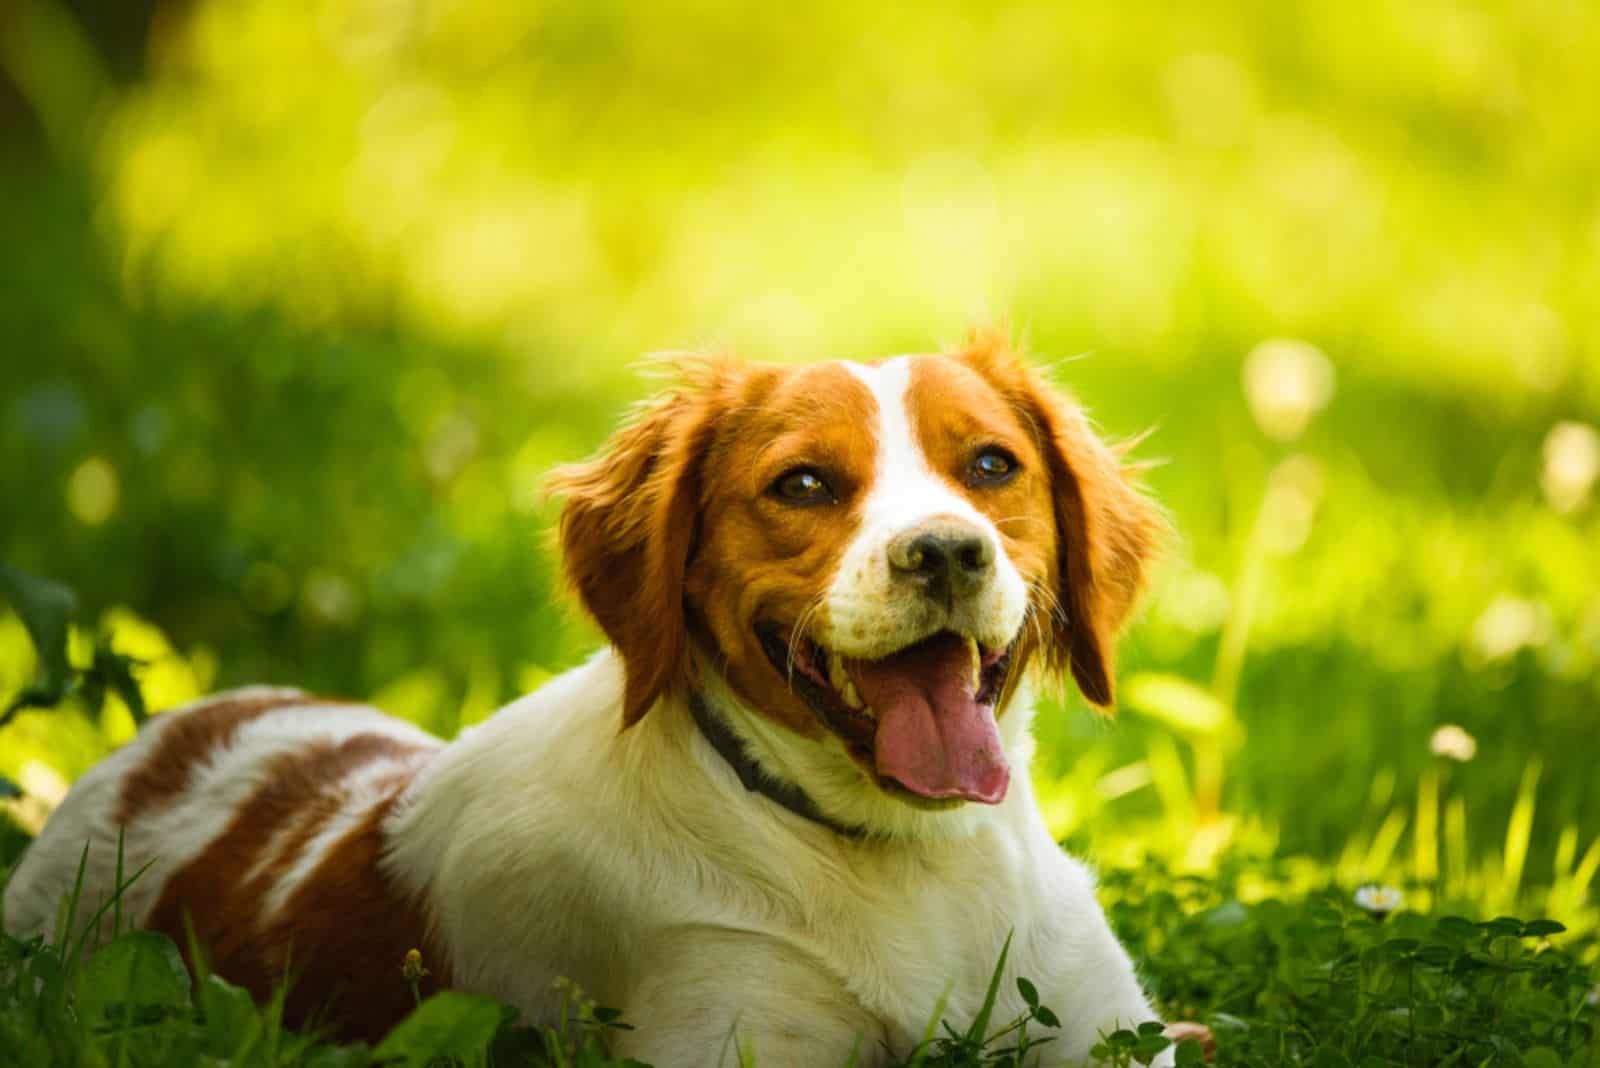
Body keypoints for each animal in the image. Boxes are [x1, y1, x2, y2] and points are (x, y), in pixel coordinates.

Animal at [3, 329, 1177, 1061]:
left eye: (990, 466)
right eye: (802, 484)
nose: (943, 552)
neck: (903, 860)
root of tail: (159, 740)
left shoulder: (1104, 1033)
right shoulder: (727, 1032)